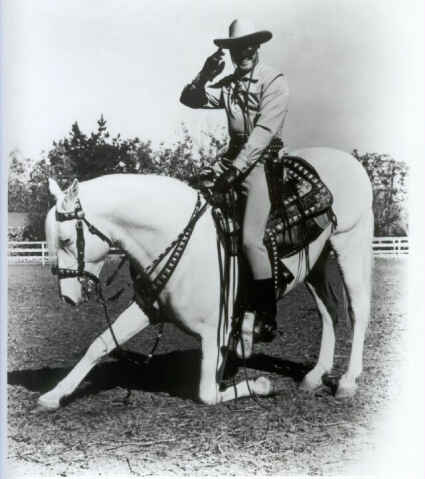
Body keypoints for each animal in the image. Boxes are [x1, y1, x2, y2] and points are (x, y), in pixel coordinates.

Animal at [39, 148, 372, 410]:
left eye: (66, 240)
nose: (67, 297)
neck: (176, 237)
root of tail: (347, 160)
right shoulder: (148, 309)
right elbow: (100, 343)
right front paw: (54, 395)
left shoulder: (215, 333)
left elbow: (207, 394)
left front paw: (262, 385)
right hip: (316, 264)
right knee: (329, 311)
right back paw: (315, 375)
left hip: (350, 245)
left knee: (357, 311)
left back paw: (347, 381)